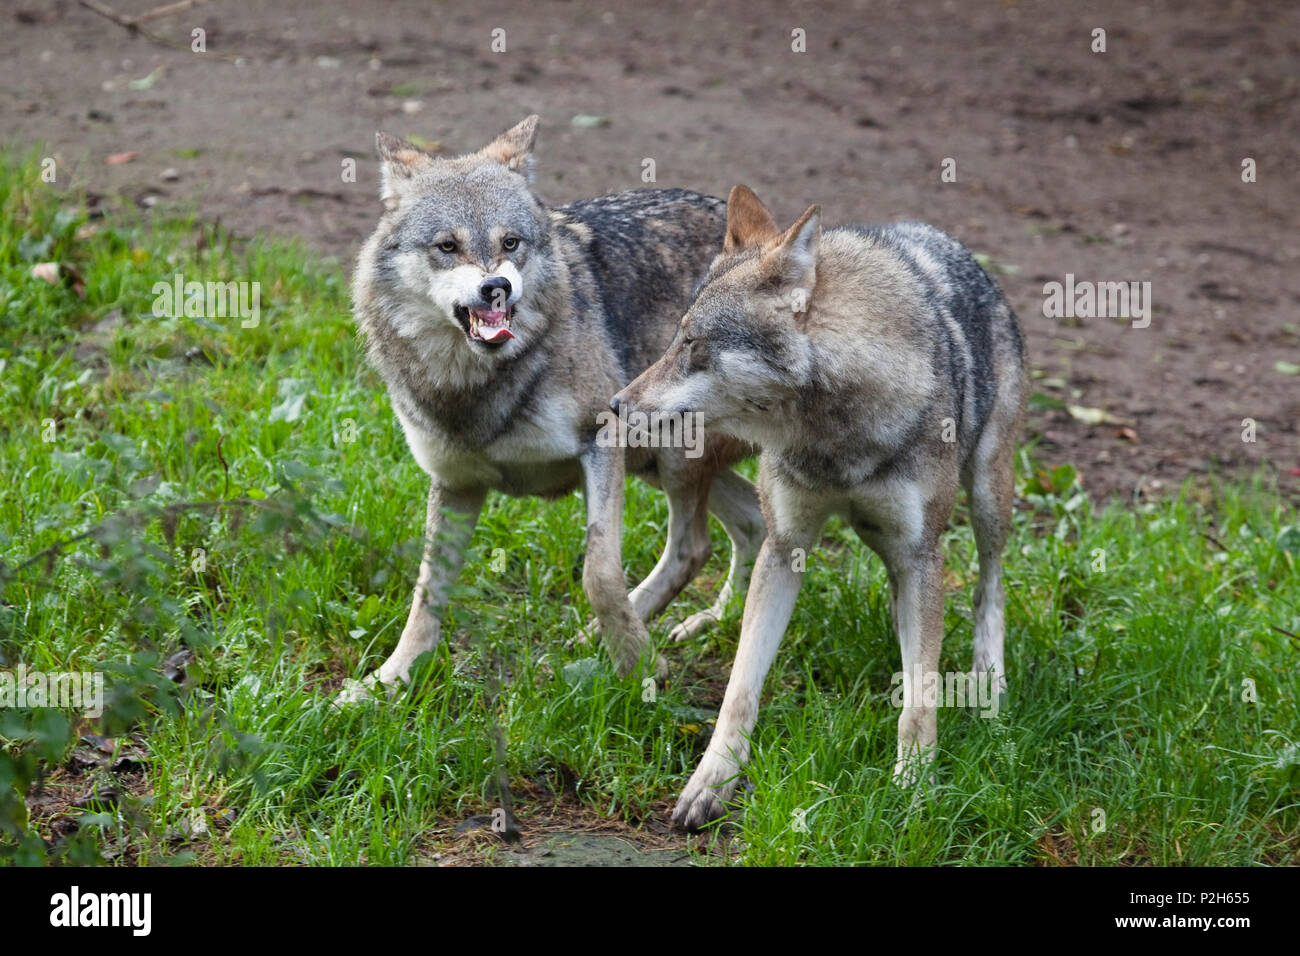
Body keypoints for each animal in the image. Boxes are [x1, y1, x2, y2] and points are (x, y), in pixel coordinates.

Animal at [351, 121, 764, 702]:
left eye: (510, 243)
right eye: (447, 246)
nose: (496, 287)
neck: (478, 384)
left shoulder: (602, 442)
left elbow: (599, 573)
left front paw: (638, 667)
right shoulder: (454, 483)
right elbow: (426, 593)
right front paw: (389, 679)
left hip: (670, 453)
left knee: (694, 546)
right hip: (657, 464)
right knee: (750, 523)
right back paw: (704, 622)